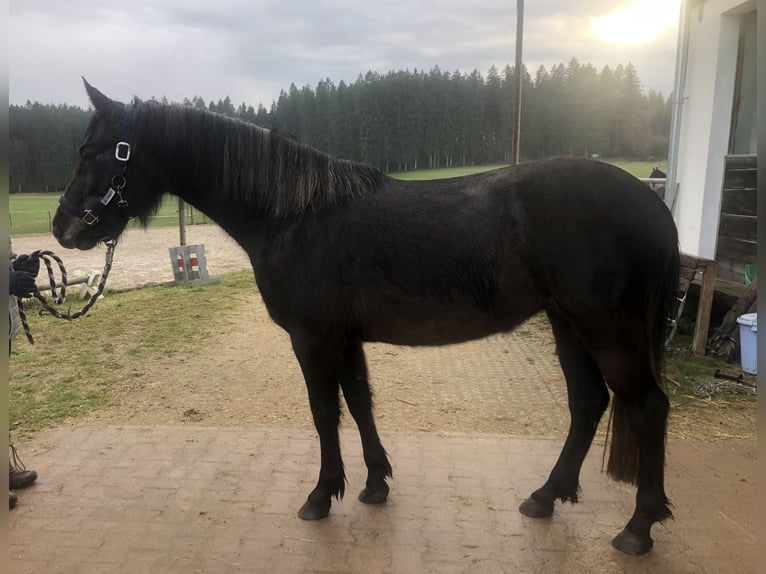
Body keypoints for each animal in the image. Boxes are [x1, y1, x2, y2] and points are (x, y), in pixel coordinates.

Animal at [53, 80, 680, 556]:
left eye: (93, 151)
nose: (64, 228)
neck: (294, 214)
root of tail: (649, 200)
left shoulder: (312, 339)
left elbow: (324, 412)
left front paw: (321, 495)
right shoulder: (345, 338)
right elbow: (359, 403)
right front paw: (376, 484)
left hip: (607, 330)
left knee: (646, 408)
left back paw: (638, 528)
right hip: (567, 323)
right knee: (588, 403)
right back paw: (546, 496)